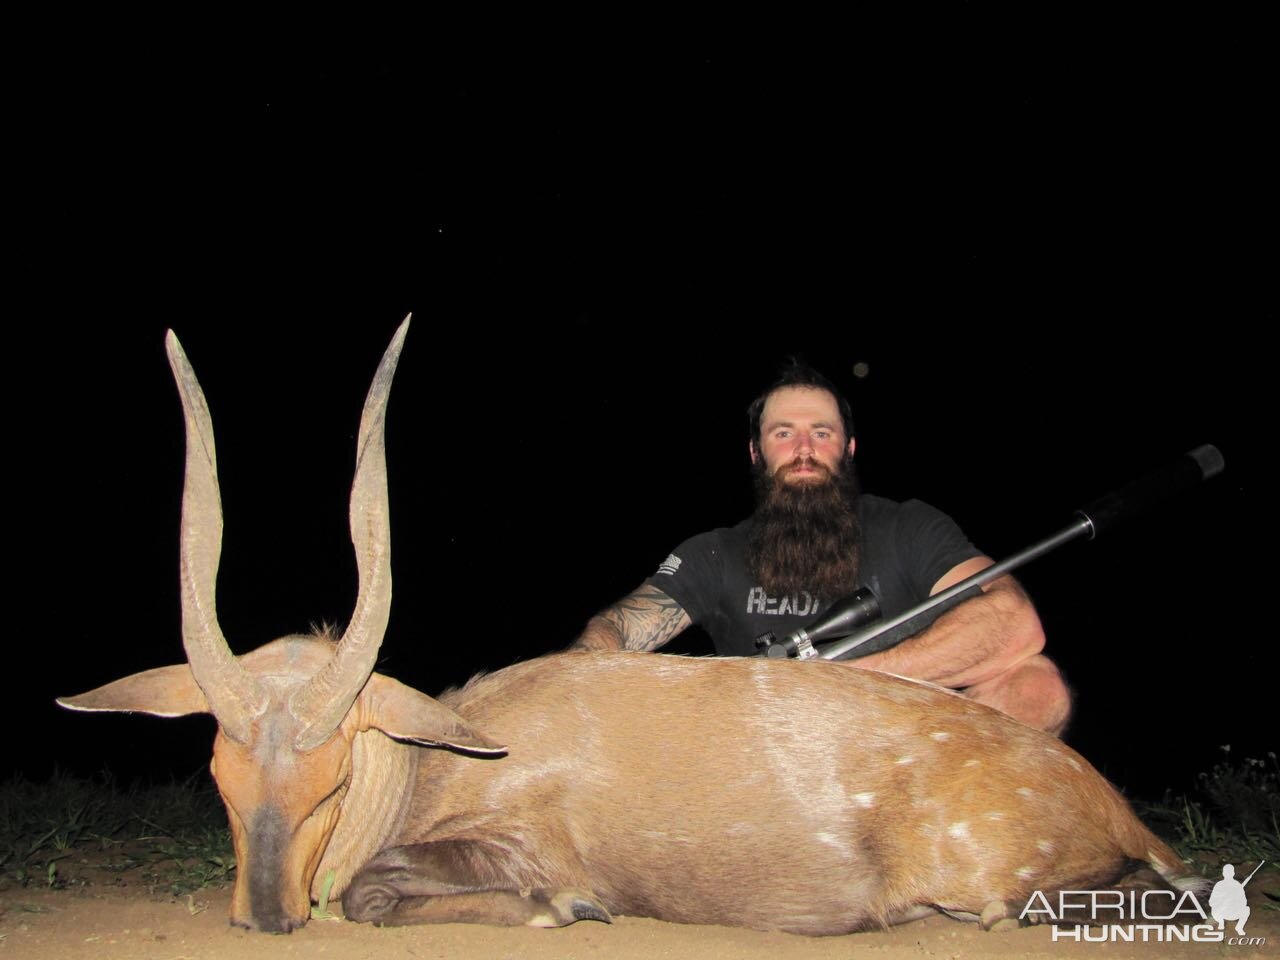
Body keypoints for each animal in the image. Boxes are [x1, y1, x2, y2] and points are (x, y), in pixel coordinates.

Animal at [60, 320, 1198, 936]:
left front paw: (565, 912)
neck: (435, 760)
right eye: (217, 768)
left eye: (333, 778)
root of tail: (1106, 798)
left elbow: (387, 893)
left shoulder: (519, 844)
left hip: (1008, 879)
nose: (264, 916)